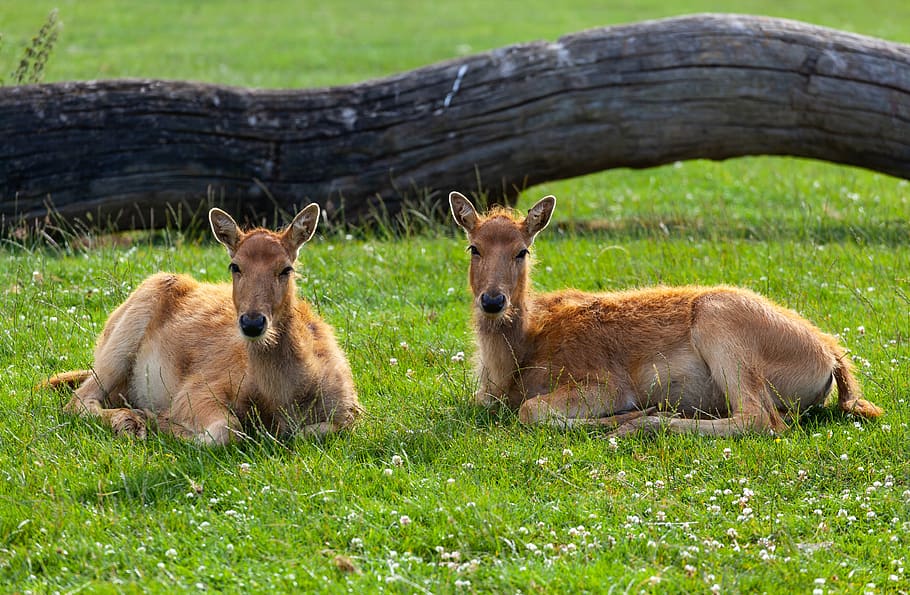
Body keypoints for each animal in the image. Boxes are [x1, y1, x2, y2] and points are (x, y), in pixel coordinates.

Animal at [48, 205, 364, 442]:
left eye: (286, 269)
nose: (252, 322)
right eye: (235, 266)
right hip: (122, 340)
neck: (287, 398)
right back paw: (129, 420)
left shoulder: (351, 410)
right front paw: (159, 421)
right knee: (76, 399)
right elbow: (228, 430)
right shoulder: (198, 388)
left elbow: (315, 432)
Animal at [448, 193, 884, 436]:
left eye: (522, 250)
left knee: (761, 420)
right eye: (474, 247)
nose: (493, 300)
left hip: (721, 325)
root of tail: (831, 356)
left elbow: (529, 410)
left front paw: (619, 418)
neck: (519, 357)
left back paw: (640, 423)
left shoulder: (604, 382)